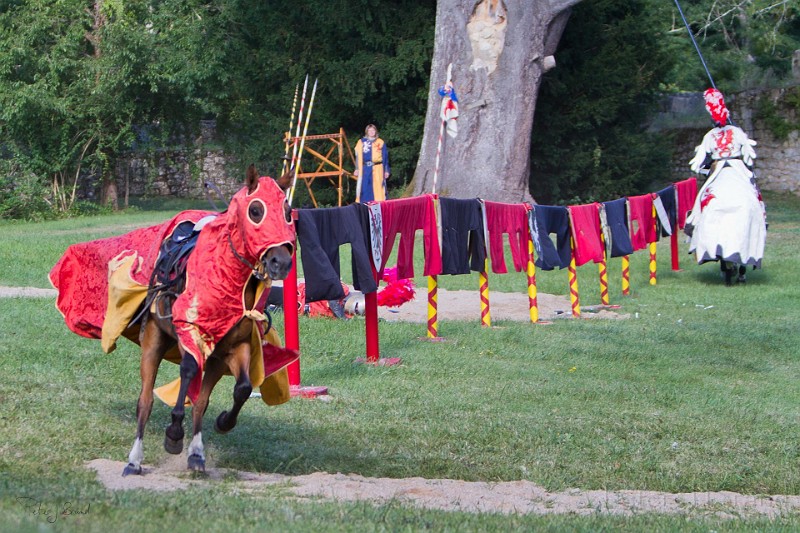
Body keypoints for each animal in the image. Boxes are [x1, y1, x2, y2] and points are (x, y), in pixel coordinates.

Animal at [50, 163, 300, 474]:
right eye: (256, 210)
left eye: (288, 211)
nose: (282, 262)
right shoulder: (189, 335)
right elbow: (188, 373)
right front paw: (173, 433)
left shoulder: (235, 347)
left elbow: (240, 388)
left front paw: (223, 423)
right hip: (153, 342)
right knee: (145, 400)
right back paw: (135, 459)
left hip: (213, 359)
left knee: (201, 400)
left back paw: (196, 453)